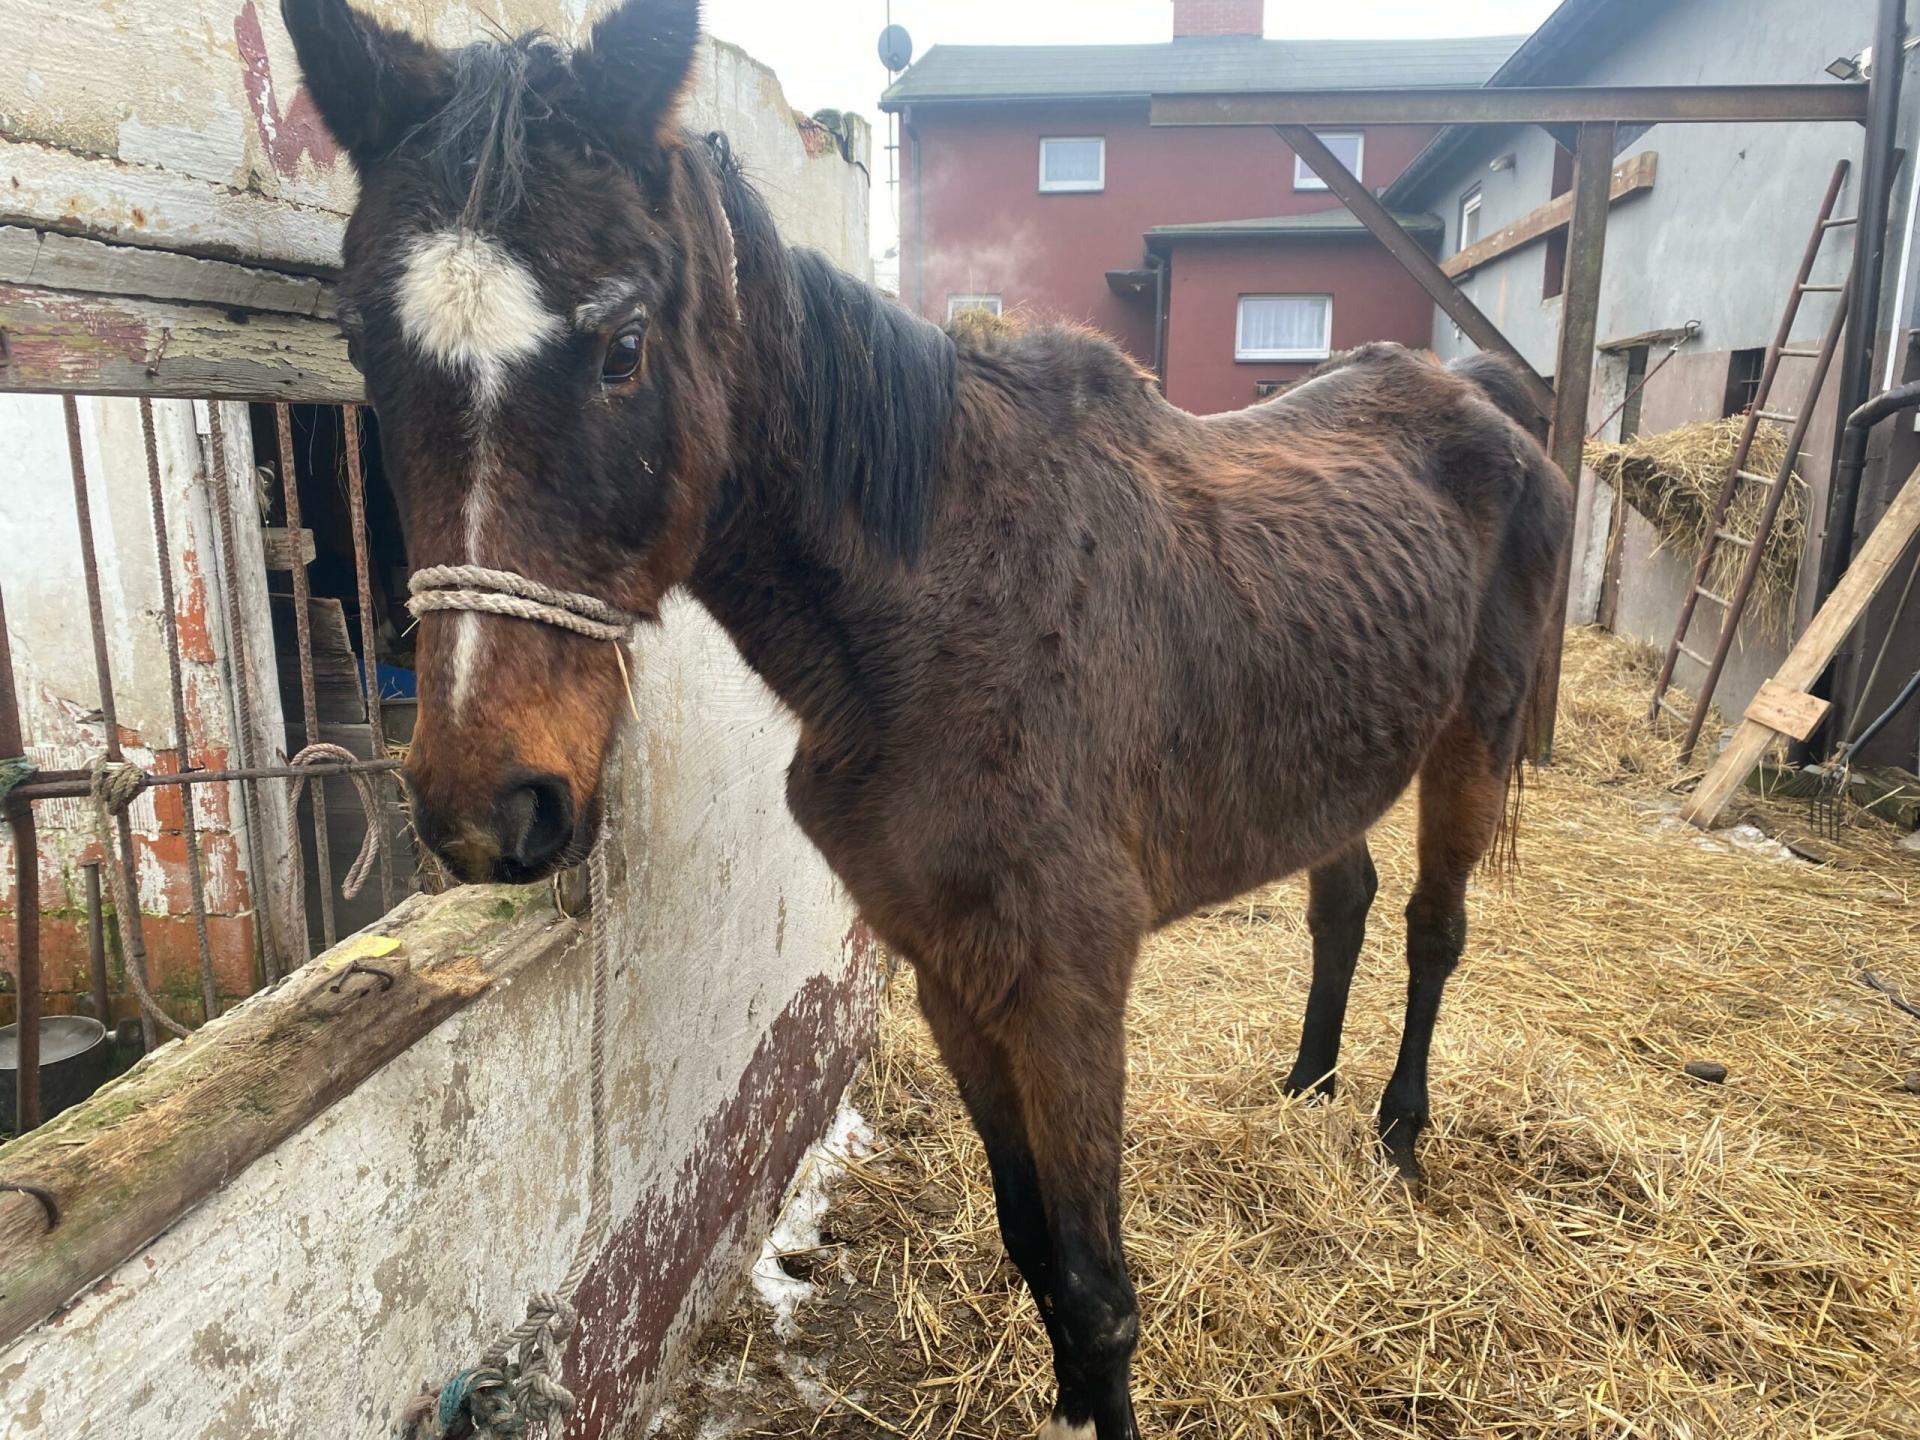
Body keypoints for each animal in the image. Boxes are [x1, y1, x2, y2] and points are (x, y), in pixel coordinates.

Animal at [280, 3, 1573, 1435]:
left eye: (620, 345)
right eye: (368, 353)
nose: (486, 805)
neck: (944, 609)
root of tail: (1485, 400)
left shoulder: (1067, 988)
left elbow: (1099, 1290)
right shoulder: (951, 969)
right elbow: (1035, 1252)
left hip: (1474, 736)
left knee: (1434, 927)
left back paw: (1396, 1134)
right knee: (1340, 896)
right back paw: (1307, 1087)